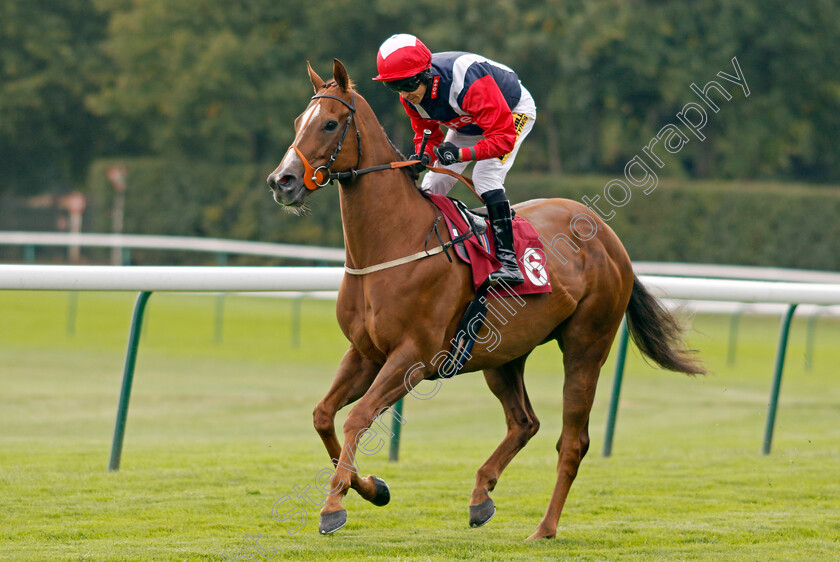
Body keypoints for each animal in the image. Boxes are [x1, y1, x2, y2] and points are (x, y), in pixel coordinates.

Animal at [268, 61, 704, 540]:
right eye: (298, 122)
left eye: (330, 123)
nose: (282, 181)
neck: (392, 244)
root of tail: (608, 237)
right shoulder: (365, 353)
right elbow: (323, 414)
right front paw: (372, 488)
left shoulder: (414, 357)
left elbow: (357, 417)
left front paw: (333, 505)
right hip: (503, 353)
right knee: (524, 422)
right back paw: (481, 495)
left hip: (586, 345)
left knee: (573, 441)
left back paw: (544, 528)